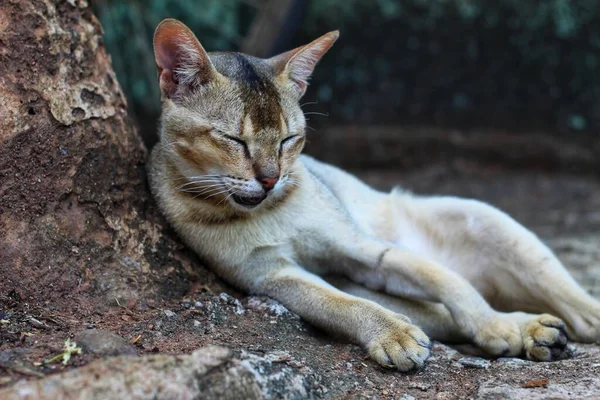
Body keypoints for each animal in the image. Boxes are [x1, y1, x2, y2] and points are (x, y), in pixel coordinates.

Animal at [146, 18, 600, 368]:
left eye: (289, 139)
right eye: (233, 140)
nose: (271, 179)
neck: (269, 212)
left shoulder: (356, 246)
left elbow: (445, 280)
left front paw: (493, 325)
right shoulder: (271, 276)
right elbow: (342, 304)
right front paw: (395, 335)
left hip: (486, 220)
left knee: (575, 311)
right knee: (440, 315)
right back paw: (534, 330)